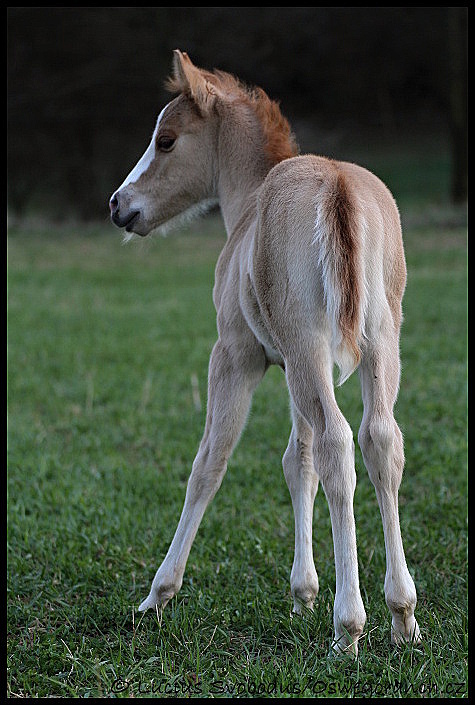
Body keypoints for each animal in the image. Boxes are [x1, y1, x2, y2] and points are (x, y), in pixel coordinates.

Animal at [110, 51, 420, 656]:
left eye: (165, 140)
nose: (119, 205)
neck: (250, 200)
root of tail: (337, 187)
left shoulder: (236, 355)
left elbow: (209, 462)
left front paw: (157, 595)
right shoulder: (294, 366)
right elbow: (296, 461)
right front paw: (303, 594)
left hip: (305, 347)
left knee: (338, 443)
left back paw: (349, 628)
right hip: (374, 345)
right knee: (379, 441)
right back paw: (402, 615)